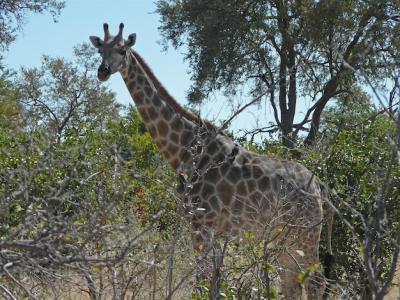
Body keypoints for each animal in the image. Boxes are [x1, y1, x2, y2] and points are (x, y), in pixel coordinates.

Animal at [90, 22, 332, 298]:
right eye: (100, 50)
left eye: (122, 50)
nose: (102, 71)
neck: (186, 151)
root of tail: (320, 186)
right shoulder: (213, 230)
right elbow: (214, 282)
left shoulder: (202, 224)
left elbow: (202, 281)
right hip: (288, 237)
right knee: (292, 282)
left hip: (306, 233)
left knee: (315, 281)